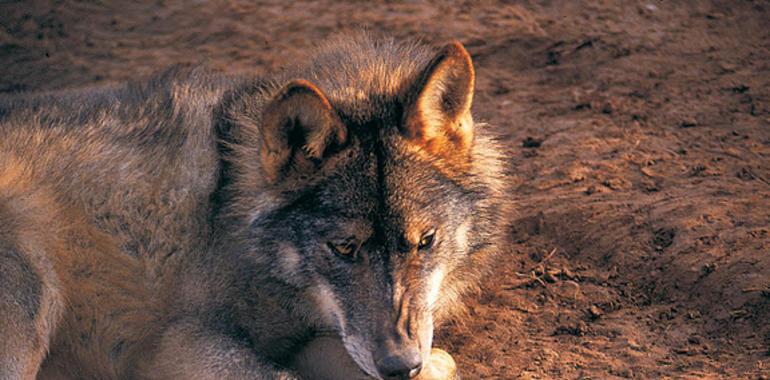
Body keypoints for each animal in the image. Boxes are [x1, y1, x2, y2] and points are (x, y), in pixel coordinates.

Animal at [1, 33, 510, 380]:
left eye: (426, 241)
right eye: (343, 249)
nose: (398, 365)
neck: (230, 220)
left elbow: (430, 360)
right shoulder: (173, 344)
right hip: (30, 290)